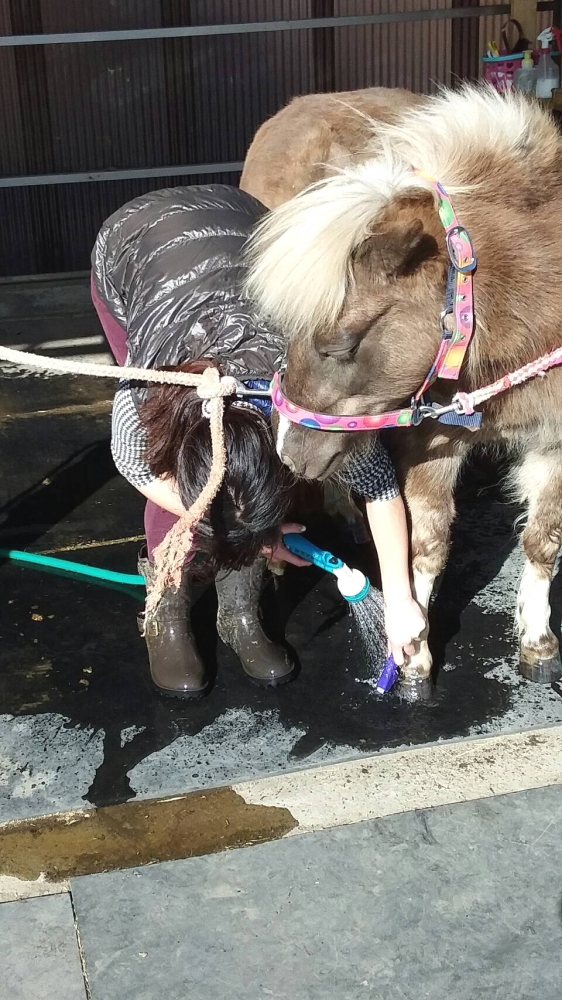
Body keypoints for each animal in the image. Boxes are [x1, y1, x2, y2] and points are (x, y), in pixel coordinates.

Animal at [245, 84, 562, 697]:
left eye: (340, 345)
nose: (289, 451)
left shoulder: (555, 440)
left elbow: (543, 541)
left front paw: (536, 641)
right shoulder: (431, 440)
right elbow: (427, 545)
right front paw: (413, 653)